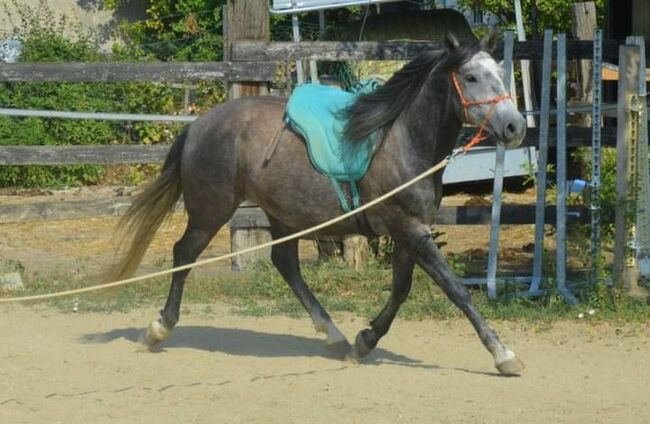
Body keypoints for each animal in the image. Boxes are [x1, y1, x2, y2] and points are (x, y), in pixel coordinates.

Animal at [111, 34, 528, 376]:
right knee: (184, 254)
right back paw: (158, 329)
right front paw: (504, 354)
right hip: (211, 211)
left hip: (283, 214)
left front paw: (364, 342)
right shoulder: (409, 228)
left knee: (285, 264)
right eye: (471, 77)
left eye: (498, 73)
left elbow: (400, 289)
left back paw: (334, 334)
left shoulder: (409, 232)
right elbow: (455, 289)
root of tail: (198, 125)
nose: (515, 127)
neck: (401, 141)